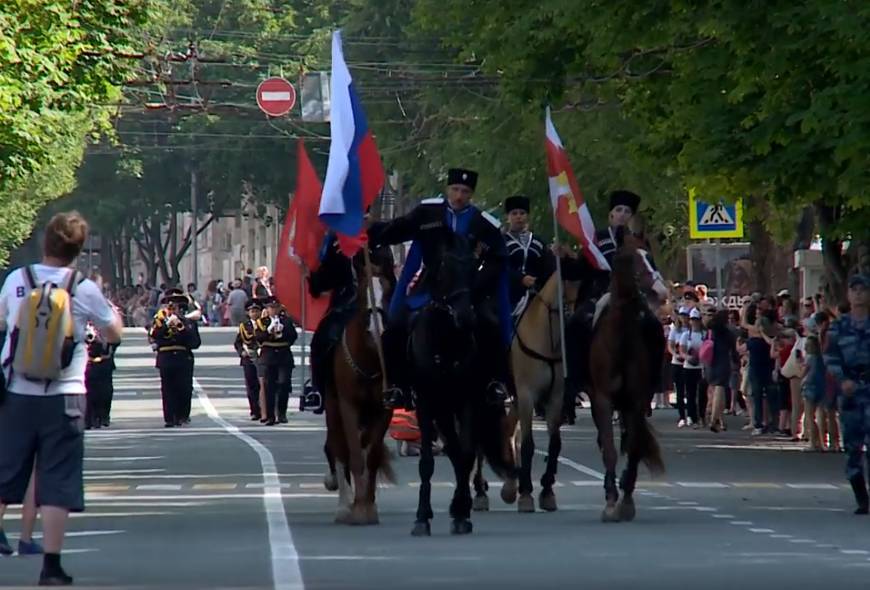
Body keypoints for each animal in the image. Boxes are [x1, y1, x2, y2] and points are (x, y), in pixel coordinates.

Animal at [410, 231, 516, 536]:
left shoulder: (469, 401)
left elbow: (467, 454)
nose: (467, 317)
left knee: (467, 452)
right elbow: (429, 462)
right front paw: (422, 517)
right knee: (454, 451)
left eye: (473, 267)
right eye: (445, 266)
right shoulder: (426, 404)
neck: (446, 342)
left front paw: (461, 513)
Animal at [592, 235, 668, 524]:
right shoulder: (601, 400)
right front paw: (611, 500)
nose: (661, 291)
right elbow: (609, 450)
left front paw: (626, 499)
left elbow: (634, 446)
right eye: (628, 258)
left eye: (650, 256)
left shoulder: (637, 401)